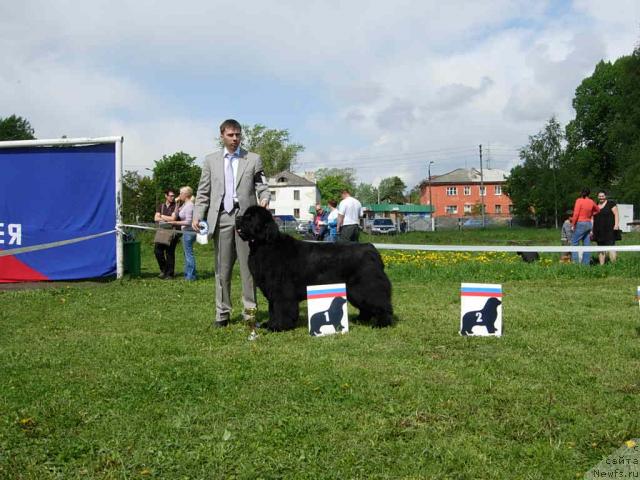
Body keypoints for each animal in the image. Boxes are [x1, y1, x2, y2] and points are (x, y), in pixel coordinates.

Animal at [236, 206, 392, 330]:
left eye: (250, 217)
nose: (237, 218)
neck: (264, 244)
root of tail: (372, 249)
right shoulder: (272, 290)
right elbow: (272, 309)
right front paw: (269, 324)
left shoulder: (282, 290)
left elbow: (281, 308)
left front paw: (278, 326)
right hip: (355, 290)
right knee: (366, 306)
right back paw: (360, 319)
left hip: (367, 285)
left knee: (381, 303)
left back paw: (382, 323)